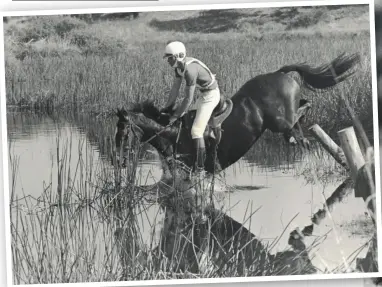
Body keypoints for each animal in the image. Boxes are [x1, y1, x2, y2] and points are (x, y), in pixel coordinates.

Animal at [115, 52, 360, 174]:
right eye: (116, 135)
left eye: (124, 134)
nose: (119, 162)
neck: (174, 133)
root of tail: (279, 72)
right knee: (304, 105)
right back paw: (295, 138)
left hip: (279, 120)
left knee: (303, 109)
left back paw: (297, 137)